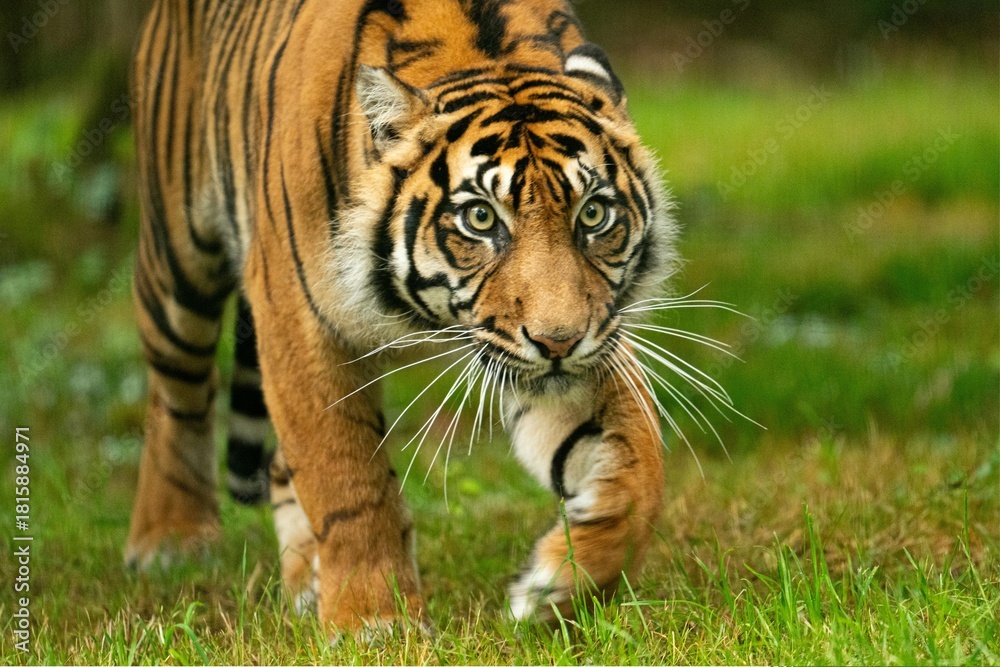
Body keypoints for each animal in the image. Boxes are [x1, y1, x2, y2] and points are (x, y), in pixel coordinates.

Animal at [124, 0, 678, 636]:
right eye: (481, 219)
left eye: (593, 214)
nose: (558, 341)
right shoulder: (300, 321)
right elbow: (346, 479)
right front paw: (372, 621)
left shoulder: (576, 340)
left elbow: (640, 467)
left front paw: (558, 588)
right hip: (177, 258)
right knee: (176, 394)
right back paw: (171, 539)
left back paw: (304, 579)